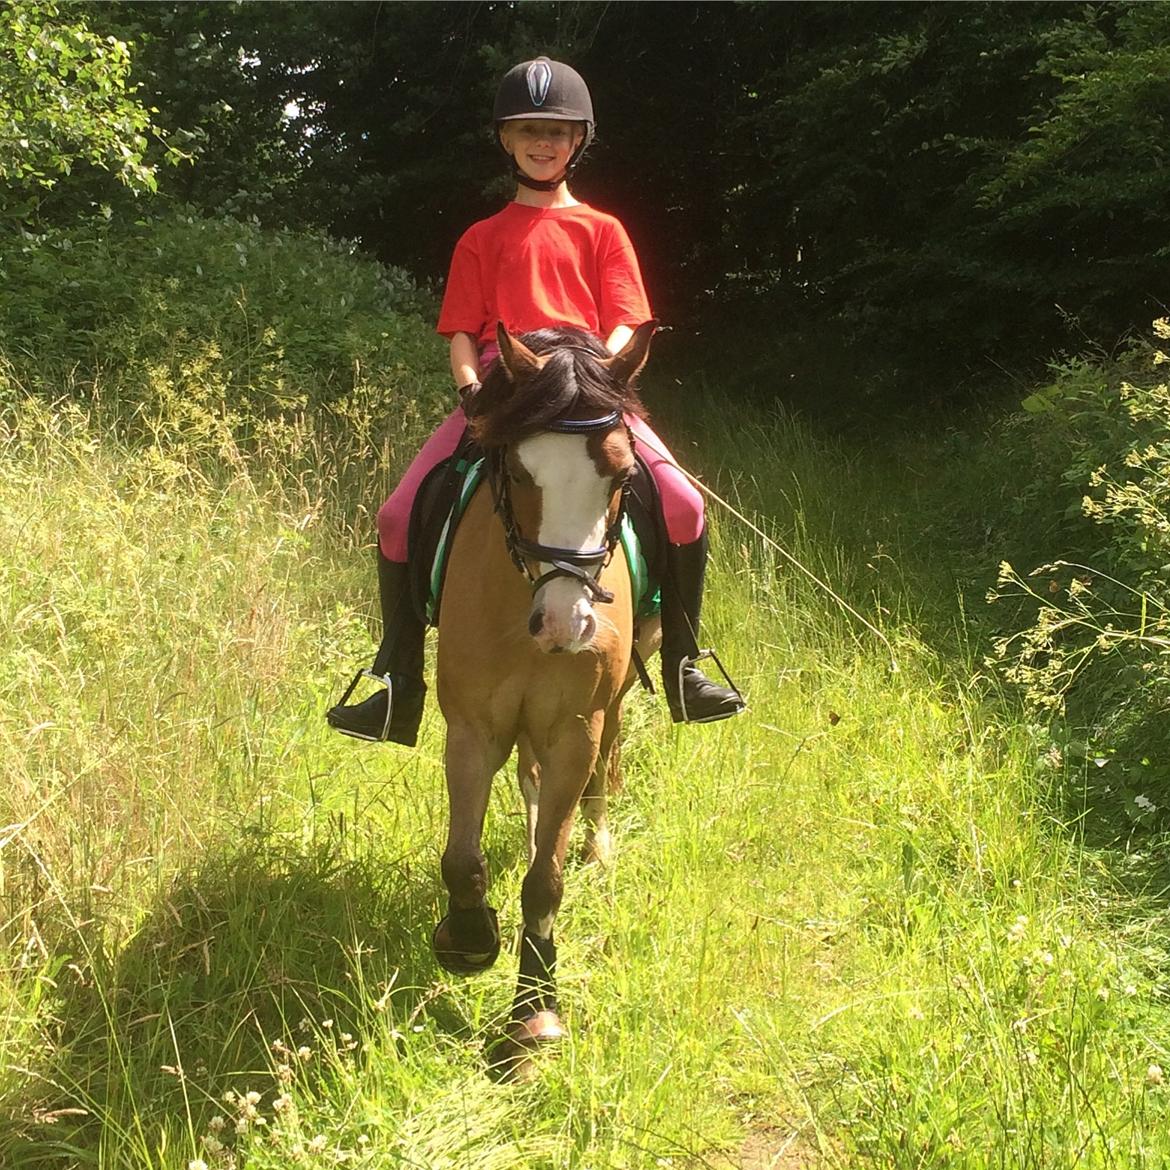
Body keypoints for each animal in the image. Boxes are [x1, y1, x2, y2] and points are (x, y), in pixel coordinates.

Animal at [431, 320, 659, 1077]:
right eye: (520, 473)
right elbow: (462, 859)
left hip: (618, 700)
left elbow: (545, 882)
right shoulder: (472, 728)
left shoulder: (573, 732)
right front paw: (470, 936)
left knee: (605, 770)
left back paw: (597, 845)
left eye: (621, 475)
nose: (566, 624)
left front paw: (533, 1017)